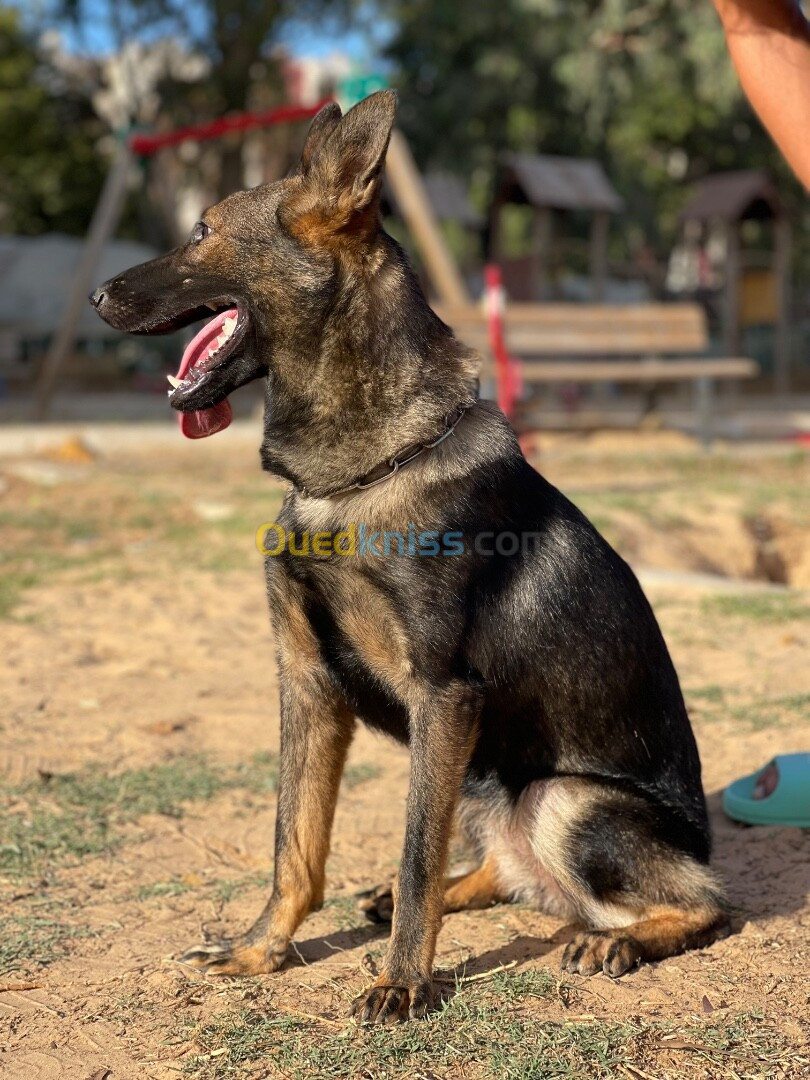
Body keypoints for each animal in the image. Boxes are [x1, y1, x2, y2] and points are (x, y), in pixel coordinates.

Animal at [91, 90, 734, 1019]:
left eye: (204, 229)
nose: (97, 293)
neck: (352, 480)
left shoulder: (443, 698)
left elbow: (414, 848)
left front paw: (401, 982)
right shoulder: (308, 684)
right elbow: (294, 843)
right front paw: (259, 949)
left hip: (561, 796)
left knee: (706, 899)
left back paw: (619, 941)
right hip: (485, 782)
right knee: (497, 869)